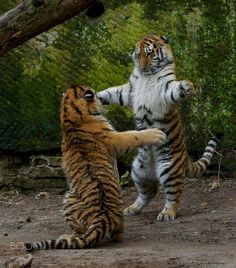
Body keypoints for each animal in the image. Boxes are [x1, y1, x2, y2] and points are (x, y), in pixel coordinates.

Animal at [23, 85, 165, 250]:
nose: (101, 99)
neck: (69, 115)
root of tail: (101, 219)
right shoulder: (116, 139)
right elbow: (134, 135)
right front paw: (157, 134)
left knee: (116, 236)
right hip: (67, 200)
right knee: (81, 234)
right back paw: (66, 236)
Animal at [96, 33, 221, 221]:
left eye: (149, 53)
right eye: (138, 54)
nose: (142, 67)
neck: (147, 76)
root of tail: (185, 157)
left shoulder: (166, 90)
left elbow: (176, 89)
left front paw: (188, 86)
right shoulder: (129, 90)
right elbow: (111, 92)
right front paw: (93, 96)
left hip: (169, 169)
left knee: (174, 196)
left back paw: (167, 213)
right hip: (137, 170)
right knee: (149, 193)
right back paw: (131, 208)